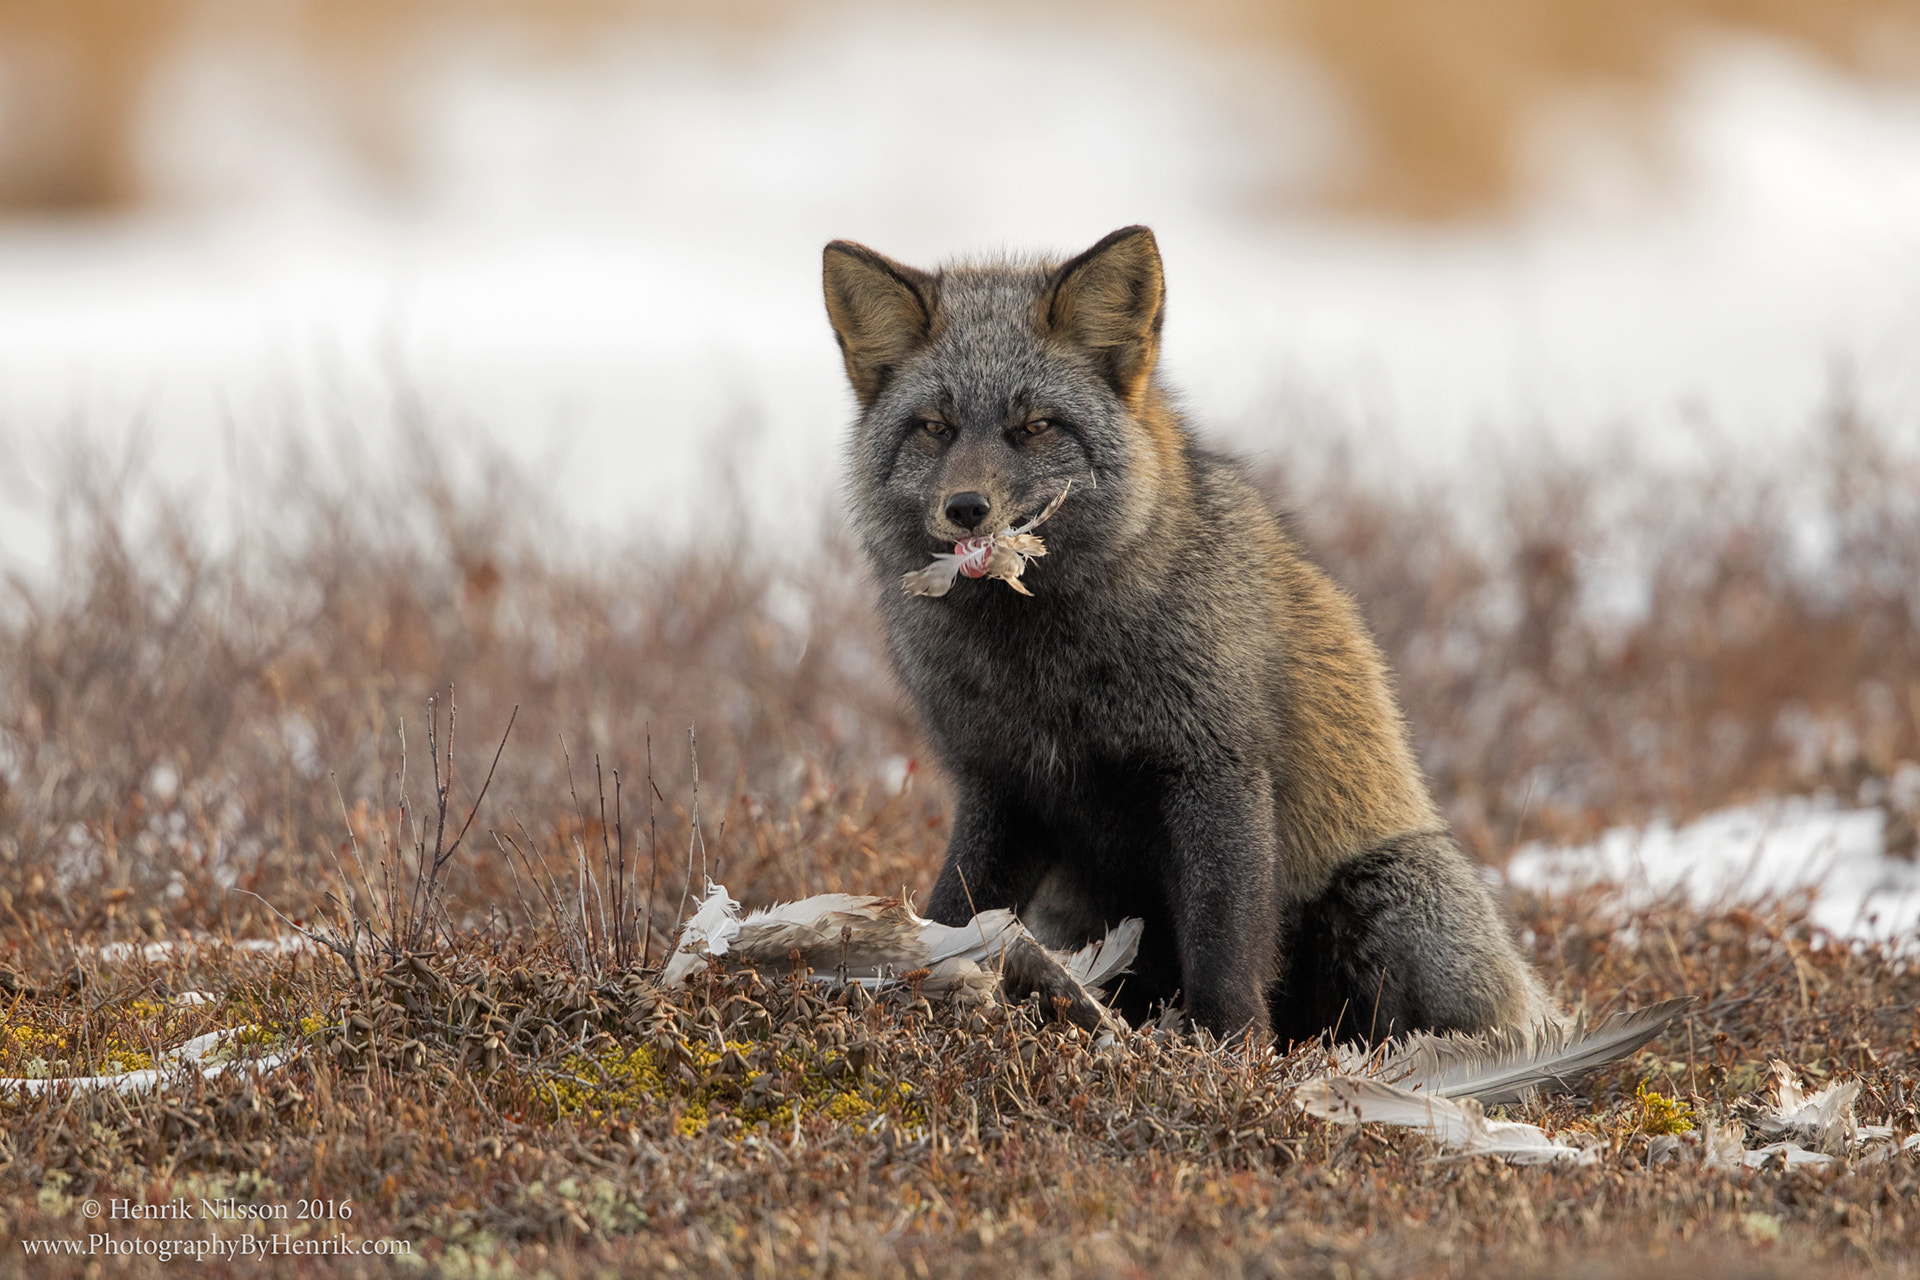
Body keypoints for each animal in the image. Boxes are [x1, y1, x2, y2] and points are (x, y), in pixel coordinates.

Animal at [821, 225, 1543, 1043]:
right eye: (935, 428)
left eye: (1034, 427)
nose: (968, 508)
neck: (1046, 677)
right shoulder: (1002, 785)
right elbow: (955, 911)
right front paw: (917, 993)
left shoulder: (1215, 769)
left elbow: (1223, 941)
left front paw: (1227, 1054)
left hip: (1387, 898)